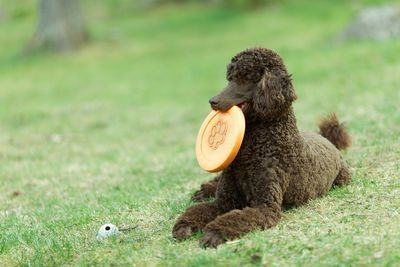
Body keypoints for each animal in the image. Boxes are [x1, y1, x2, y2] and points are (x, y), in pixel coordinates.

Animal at [172, 47, 350, 249]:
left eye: (245, 78)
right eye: (230, 78)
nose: (212, 101)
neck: (257, 146)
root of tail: (325, 139)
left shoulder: (265, 206)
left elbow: (236, 218)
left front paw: (214, 233)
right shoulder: (225, 201)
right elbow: (199, 210)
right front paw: (184, 224)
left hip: (343, 178)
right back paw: (204, 190)